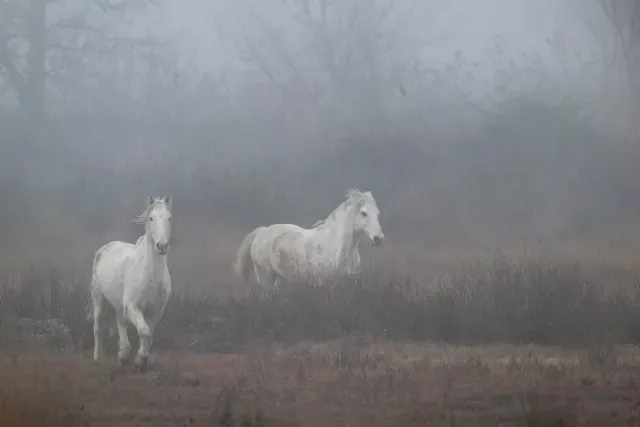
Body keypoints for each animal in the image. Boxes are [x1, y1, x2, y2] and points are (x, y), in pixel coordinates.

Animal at [89, 195, 172, 372]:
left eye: (169, 218)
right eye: (151, 218)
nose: (162, 246)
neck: (151, 276)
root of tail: (104, 248)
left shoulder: (156, 311)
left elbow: (149, 335)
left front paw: (141, 360)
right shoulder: (133, 307)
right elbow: (144, 331)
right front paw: (139, 359)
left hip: (120, 306)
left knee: (120, 322)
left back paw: (123, 354)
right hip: (98, 299)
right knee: (98, 328)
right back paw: (98, 357)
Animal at [235, 190, 384, 288]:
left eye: (378, 213)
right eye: (364, 213)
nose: (379, 238)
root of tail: (261, 231)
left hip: (278, 279)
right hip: (266, 278)